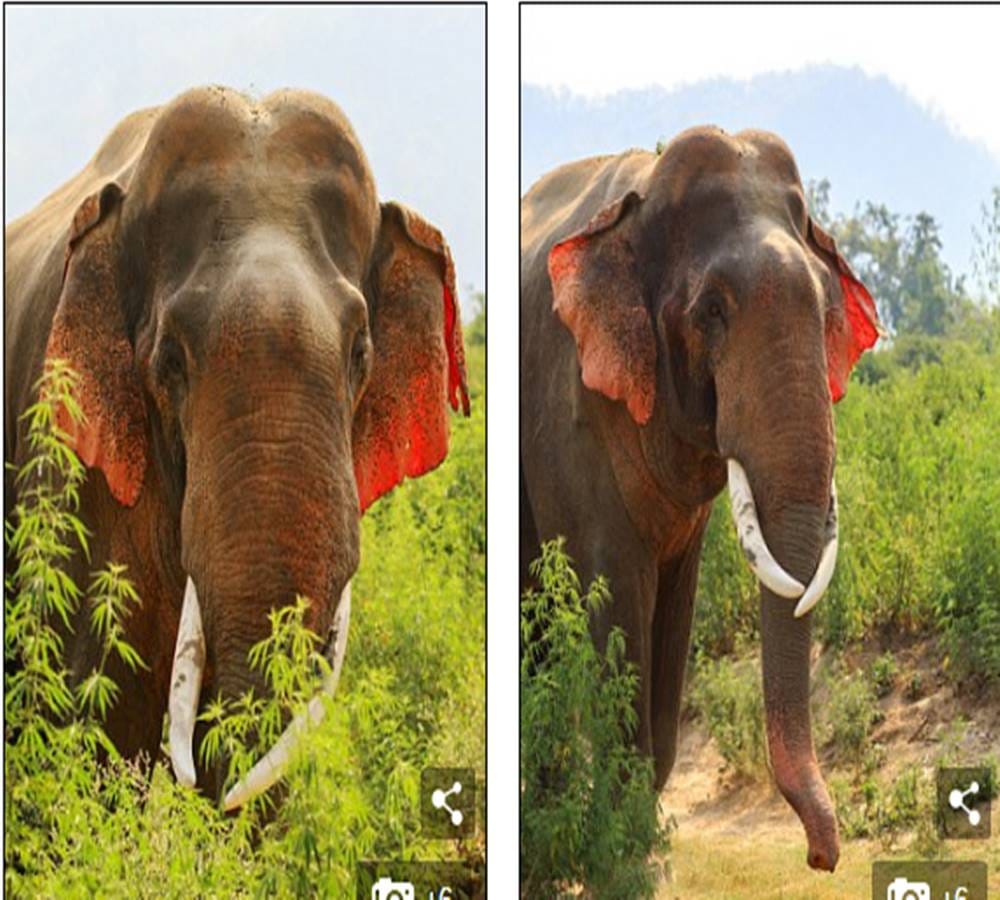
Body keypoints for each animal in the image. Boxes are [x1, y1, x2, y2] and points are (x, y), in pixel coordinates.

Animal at [520, 126, 880, 871]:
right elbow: (613, 588)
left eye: (824, 311)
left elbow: (674, 602)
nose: (820, 858)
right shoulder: (569, 399)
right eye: (712, 312)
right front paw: (619, 859)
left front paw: (635, 842)